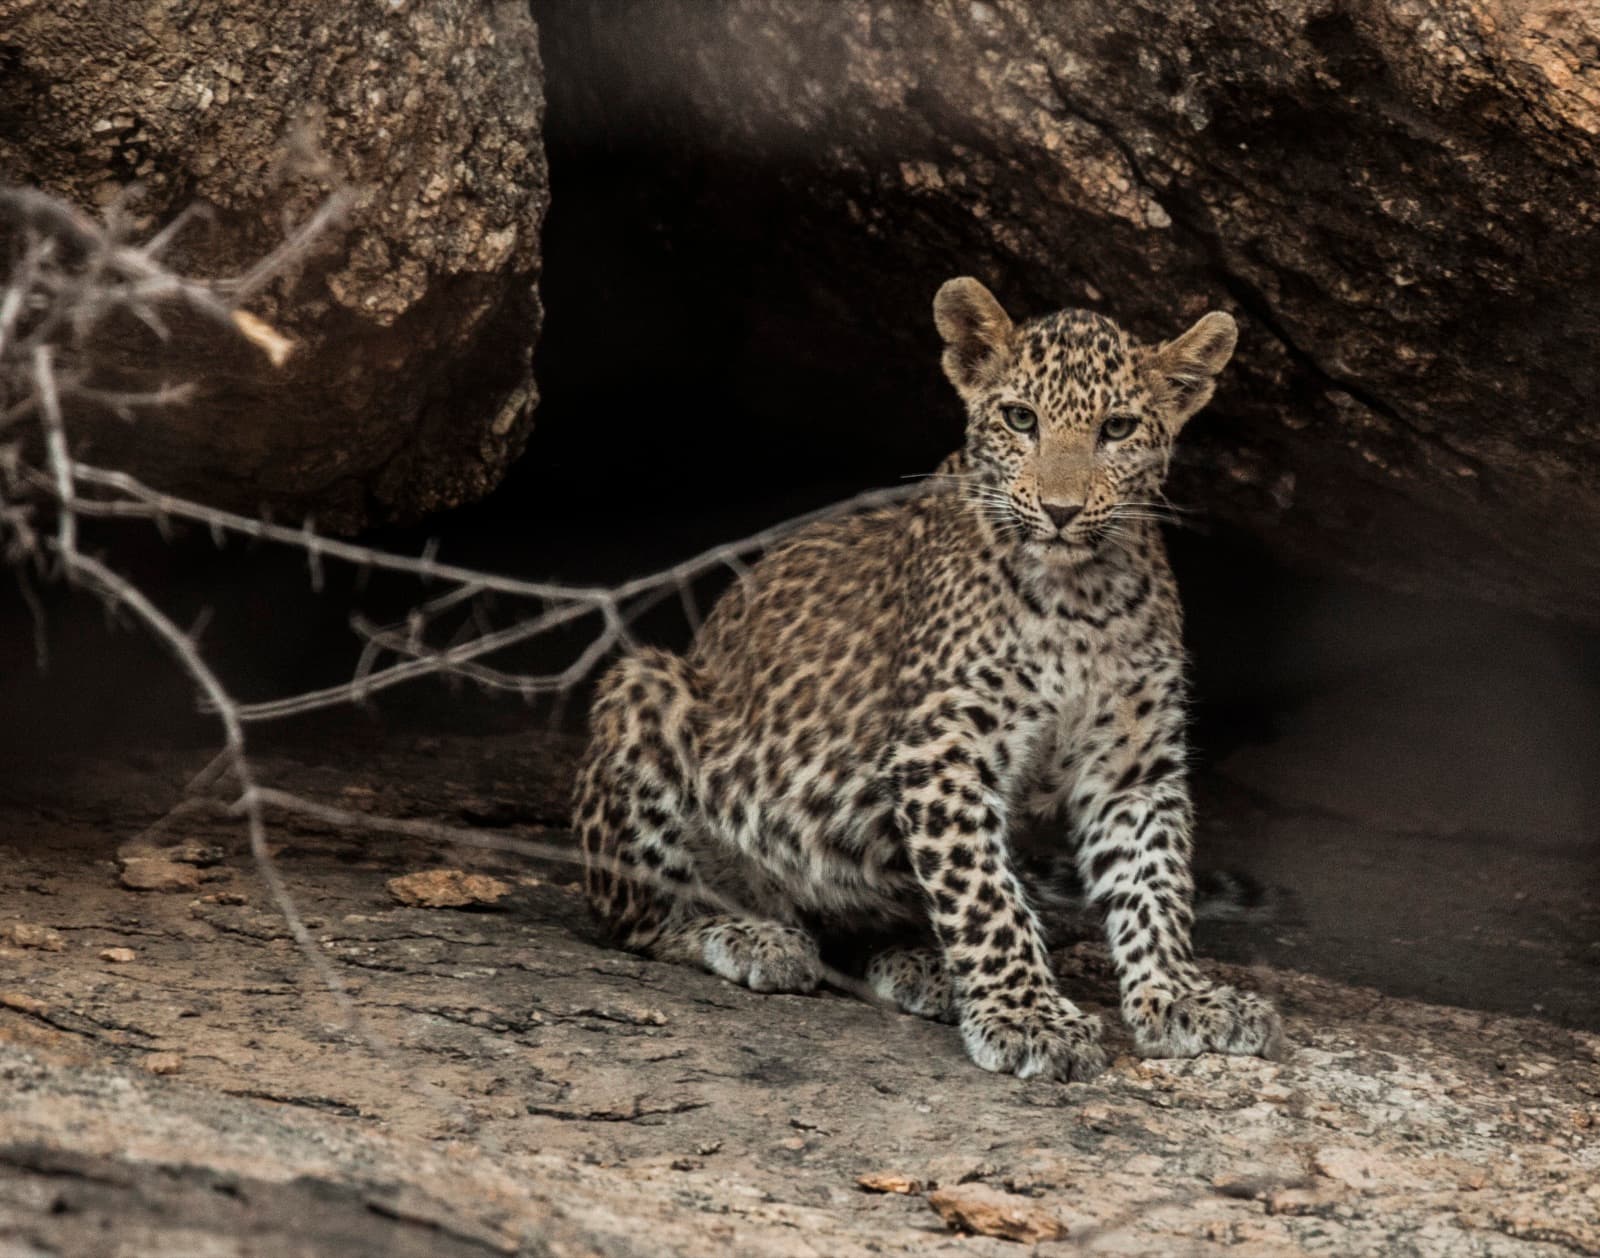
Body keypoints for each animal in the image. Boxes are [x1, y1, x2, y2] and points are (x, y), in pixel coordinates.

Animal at [572, 276, 1284, 1082]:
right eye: (1020, 419)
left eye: (1119, 428)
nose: (1061, 511)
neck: (1082, 597)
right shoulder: (942, 749)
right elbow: (984, 895)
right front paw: (1027, 1016)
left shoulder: (1134, 766)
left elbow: (1154, 882)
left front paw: (1181, 996)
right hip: (646, 688)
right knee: (639, 921)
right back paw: (751, 935)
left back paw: (919, 966)